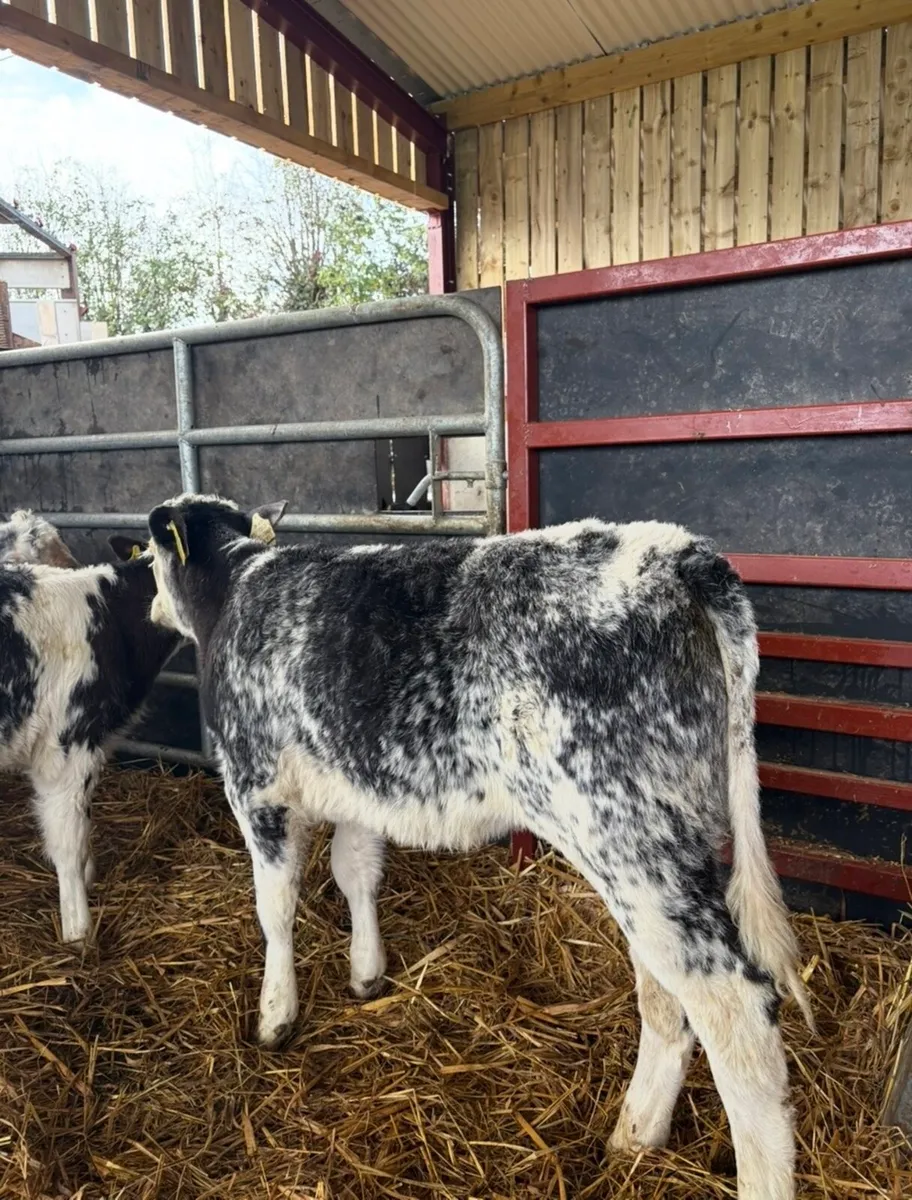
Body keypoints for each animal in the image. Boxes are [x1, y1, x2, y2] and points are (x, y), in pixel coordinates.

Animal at [146, 492, 813, 1200]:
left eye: (146, 552)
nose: (151, 607)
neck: (234, 588)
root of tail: (679, 553)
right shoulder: (359, 787)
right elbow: (356, 873)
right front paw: (366, 973)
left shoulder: (255, 786)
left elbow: (275, 909)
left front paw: (275, 1015)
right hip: (653, 855)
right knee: (667, 995)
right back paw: (634, 1135)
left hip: (630, 840)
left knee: (735, 1005)